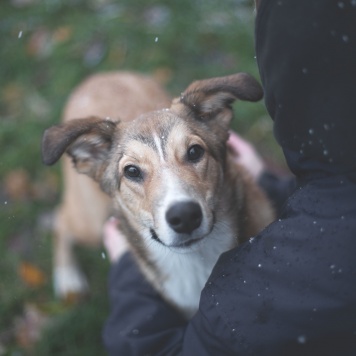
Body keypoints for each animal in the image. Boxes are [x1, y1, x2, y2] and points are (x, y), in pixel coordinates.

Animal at [42, 71, 276, 318]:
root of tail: (99, 76)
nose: (184, 216)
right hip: (91, 222)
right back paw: (68, 279)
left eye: (195, 151)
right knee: (61, 220)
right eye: (131, 171)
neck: (196, 262)